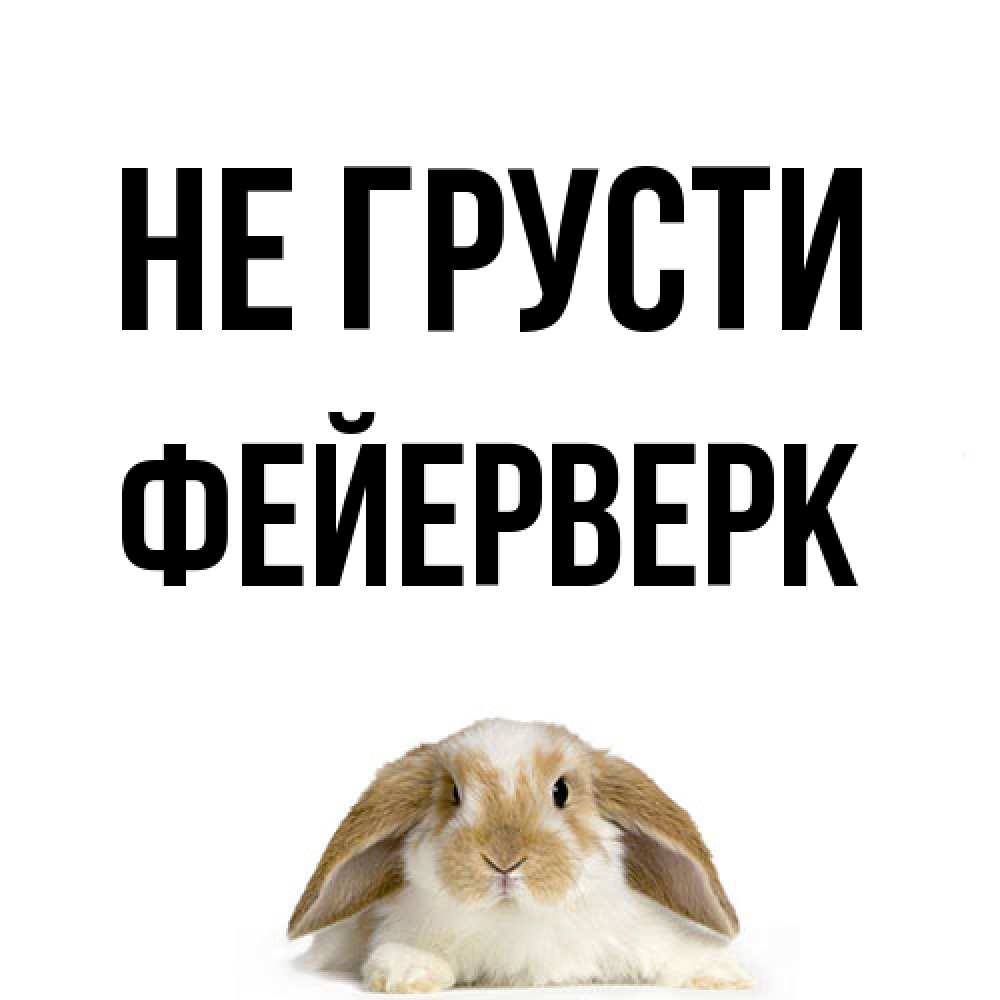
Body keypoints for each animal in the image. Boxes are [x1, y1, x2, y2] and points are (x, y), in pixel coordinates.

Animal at [288, 719, 751, 991]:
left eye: (561, 791)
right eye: (454, 794)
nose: (504, 860)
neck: (516, 918)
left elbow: (673, 950)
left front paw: (723, 973)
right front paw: (409, 972)